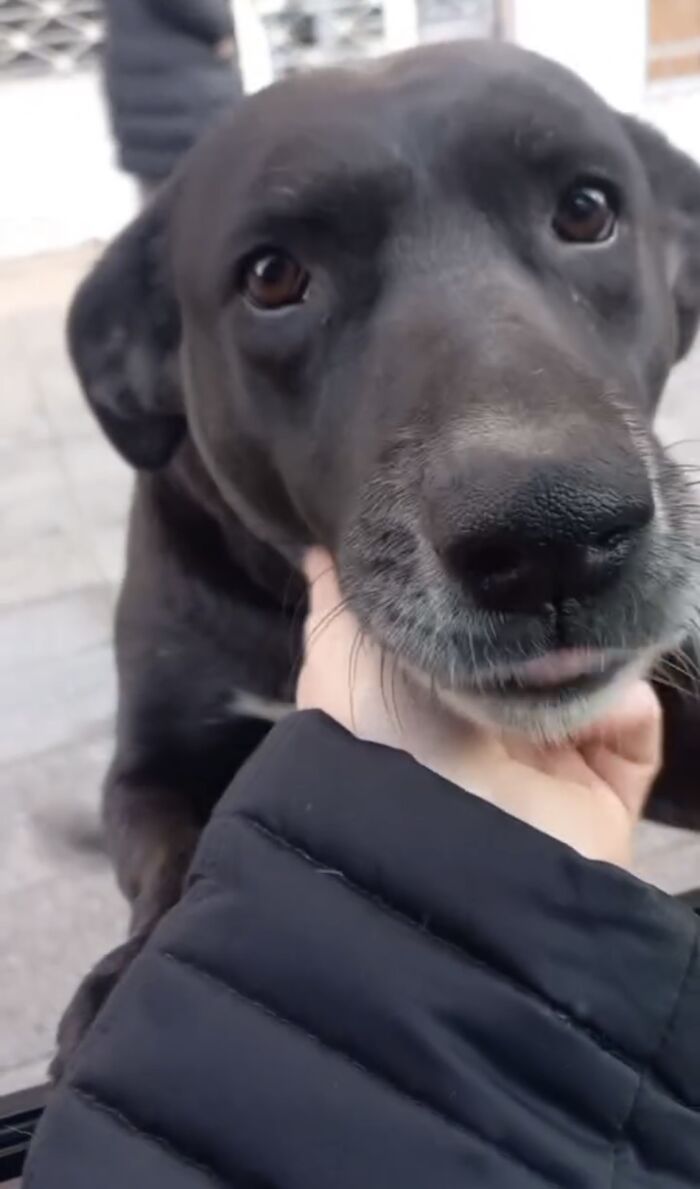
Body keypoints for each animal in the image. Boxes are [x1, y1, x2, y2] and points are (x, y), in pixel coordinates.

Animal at [53, 39, 698, 1079]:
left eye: (586, 211)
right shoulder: (150, 763)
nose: (551, 535)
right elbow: (171, 843)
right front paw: (133, 969)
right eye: (273, 276)